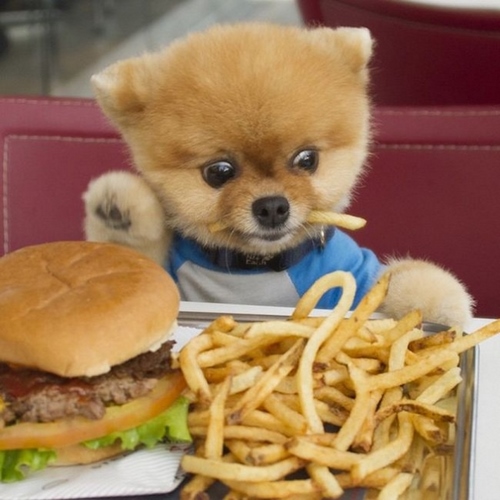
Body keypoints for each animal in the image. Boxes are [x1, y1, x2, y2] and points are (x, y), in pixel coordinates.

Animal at [84, 22, 474, 328]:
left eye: (307, 159)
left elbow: (389, 282)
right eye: (218, 172)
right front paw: (119, 208)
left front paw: (436, 301)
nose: (272, 206)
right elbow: (131, 270)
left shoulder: (352, 272)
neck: (255, 267)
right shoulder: (171, 280)